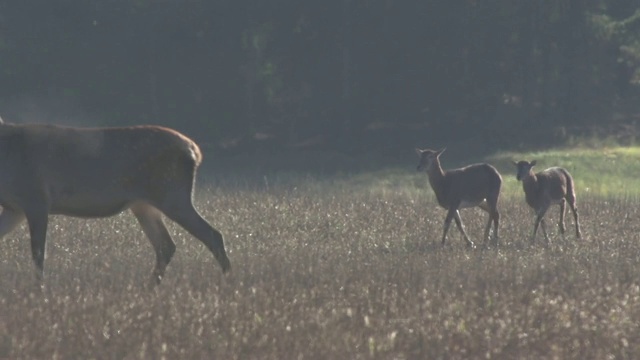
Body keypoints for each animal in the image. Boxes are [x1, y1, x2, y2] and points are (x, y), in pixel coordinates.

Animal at [0, 118, 231, 286]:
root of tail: (195, 151)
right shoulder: (14, 208)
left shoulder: (36, 198)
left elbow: (38, 253)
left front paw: (39, 288)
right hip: (144, 205)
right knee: (166, 245)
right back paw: (149, 286)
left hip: (173, 195)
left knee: (212, 235)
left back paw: (228, 282)